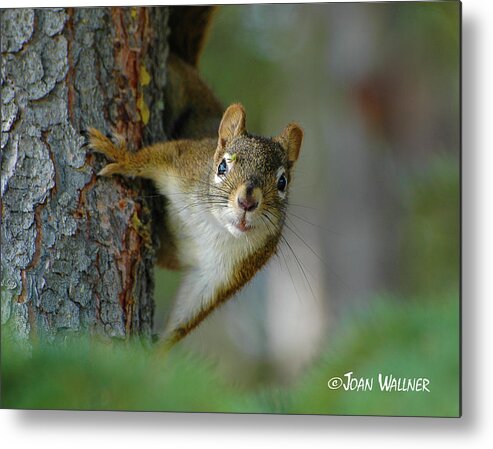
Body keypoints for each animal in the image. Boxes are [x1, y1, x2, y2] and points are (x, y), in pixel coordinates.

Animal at [86, 5, 302, 344]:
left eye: (282, 182)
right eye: (222, 166)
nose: (247, 202)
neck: (213, 227)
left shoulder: (225, 274)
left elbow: (187, 315)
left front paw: (152, 351)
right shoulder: (182, 164)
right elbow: (150, 157)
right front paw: (120, 155)